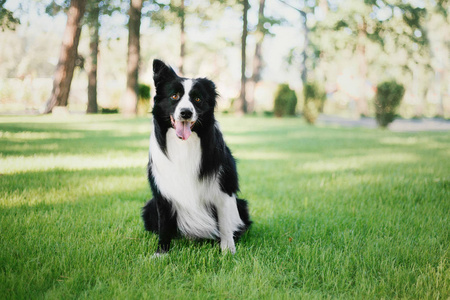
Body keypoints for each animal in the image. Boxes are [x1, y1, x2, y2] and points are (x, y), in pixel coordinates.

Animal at [142, 59, 251, 254]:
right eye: (174, 96)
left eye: (198, 99)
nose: (186, 112)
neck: (184, 144)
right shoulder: (162, 193)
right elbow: (164, 225)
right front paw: (162, 252)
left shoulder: (224, 189)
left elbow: (225, 223)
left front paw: (227, 250)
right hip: (148, 207)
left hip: (242, 204)